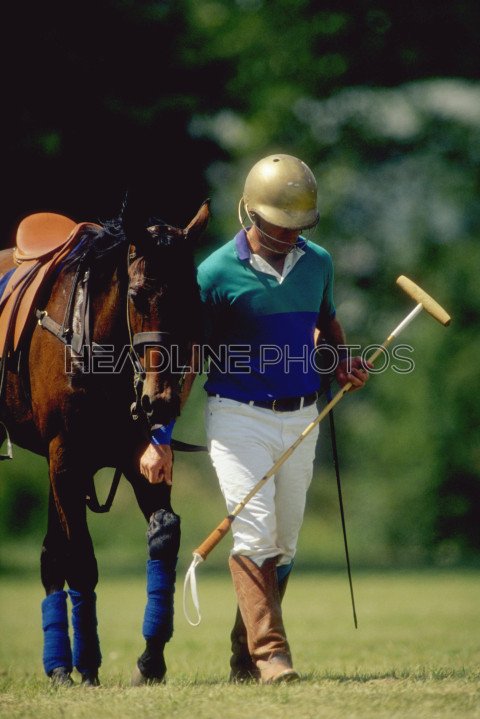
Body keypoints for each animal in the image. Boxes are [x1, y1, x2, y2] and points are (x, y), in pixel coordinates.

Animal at [0, 198, 209, 686]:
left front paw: (150, 660)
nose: (161, 401)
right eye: (137, 296)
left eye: (192, 298)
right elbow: (81, 559)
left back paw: (57, 664)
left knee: (50, 555)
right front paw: (89, 665)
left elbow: (164, 533)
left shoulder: (135, 458)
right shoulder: (64, 457)